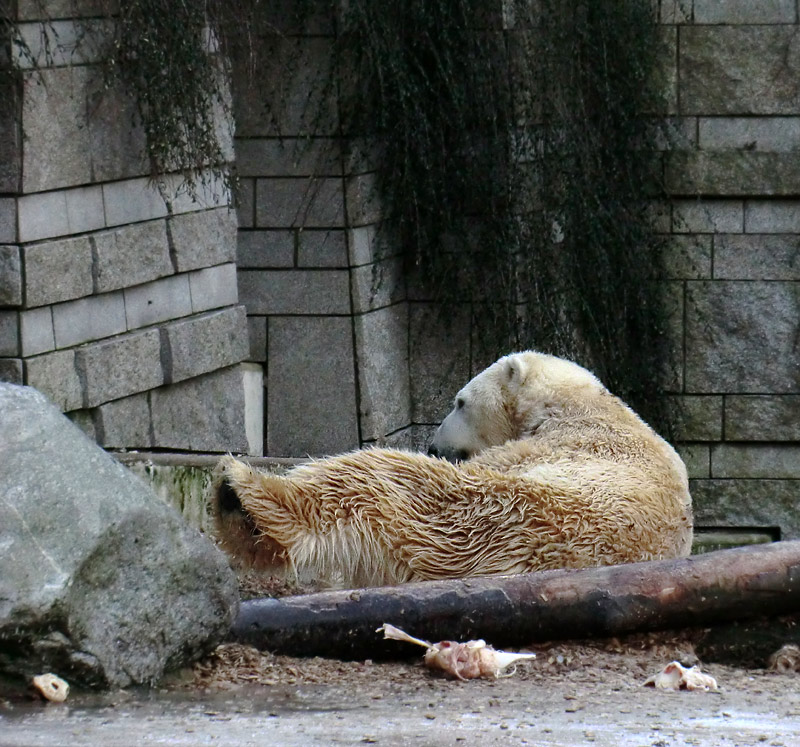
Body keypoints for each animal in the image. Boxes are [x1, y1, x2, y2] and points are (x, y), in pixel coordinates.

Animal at [214, 352, 692, 592]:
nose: (432, 443)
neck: (577, 404)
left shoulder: (547, 448)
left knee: (376, 477)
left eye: (460, 401)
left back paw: (240, 496)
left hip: (474, 515)